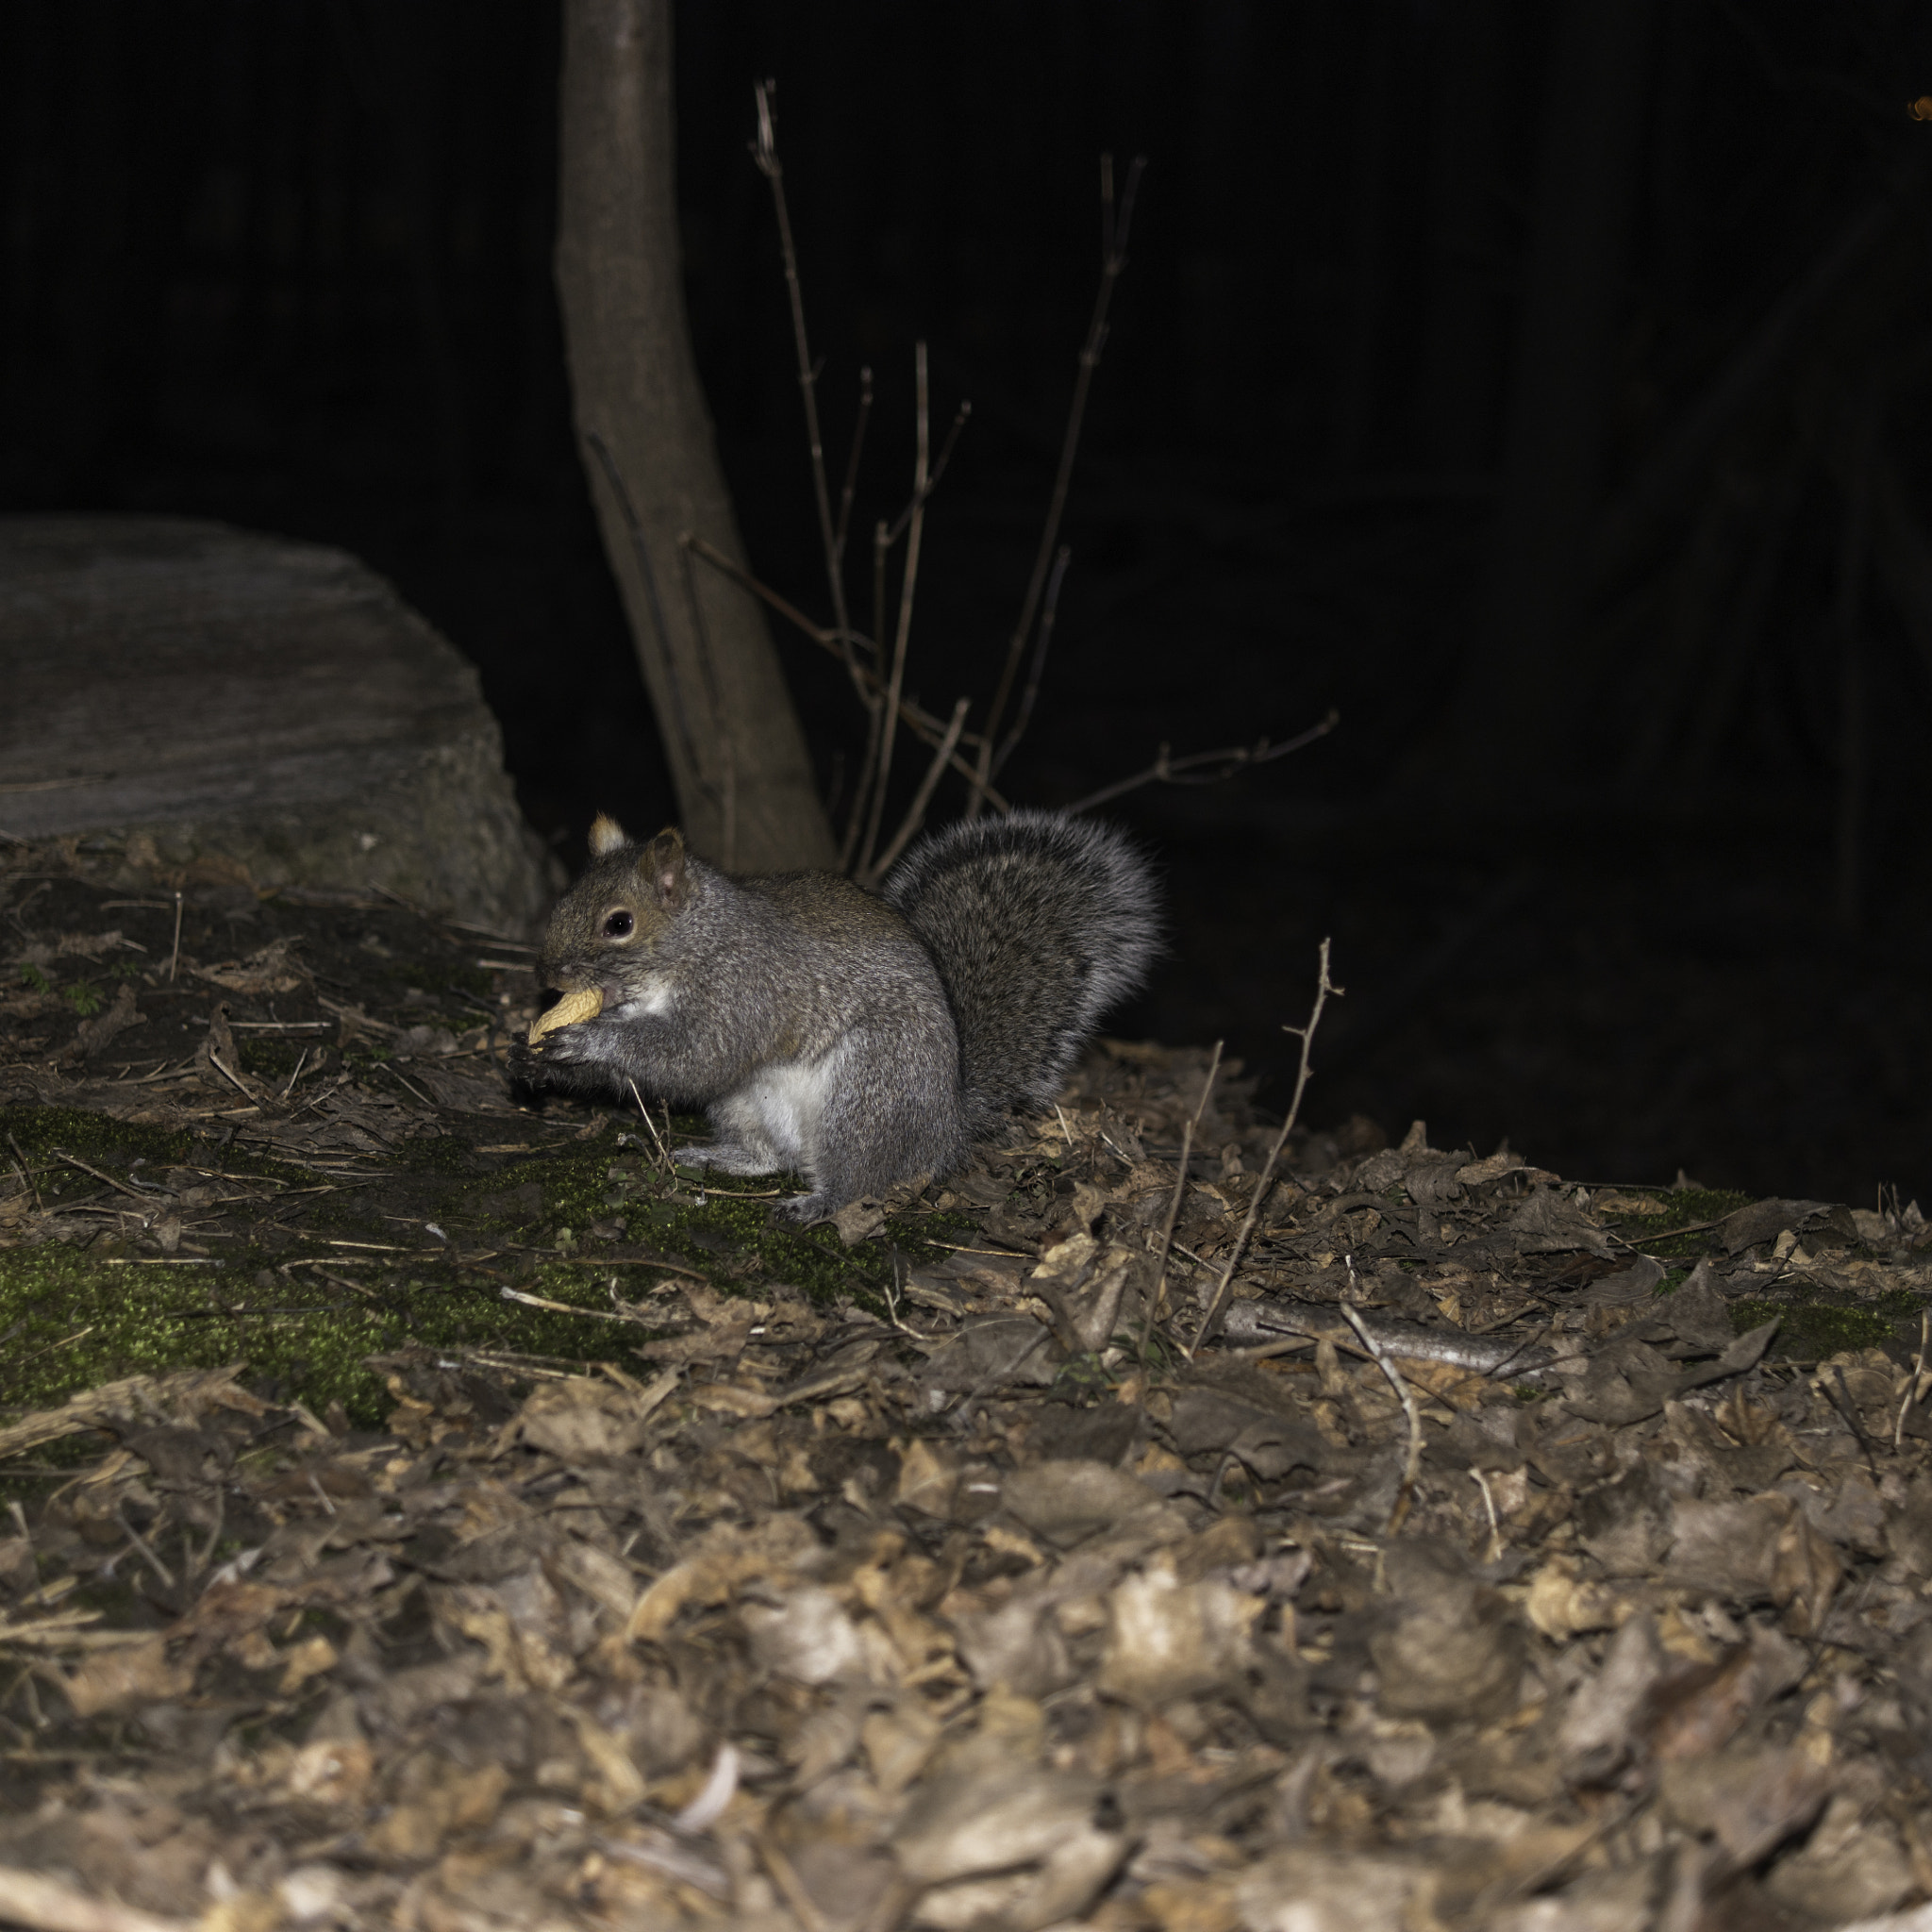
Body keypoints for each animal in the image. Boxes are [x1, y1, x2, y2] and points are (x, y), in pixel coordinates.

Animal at [506, 811, 1151, 1221]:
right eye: (564, 900)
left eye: (618, 924)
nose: (546, 976)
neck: (695, 944)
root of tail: (944, 1131)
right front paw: (532, 1057)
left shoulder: (744, 994)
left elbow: (693, 1056)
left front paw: (587, 1041)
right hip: (744, 1103)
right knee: (772, 1158)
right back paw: (721, 1157)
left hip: (866, 1094)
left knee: (860, 1180)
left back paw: (818, 1203)